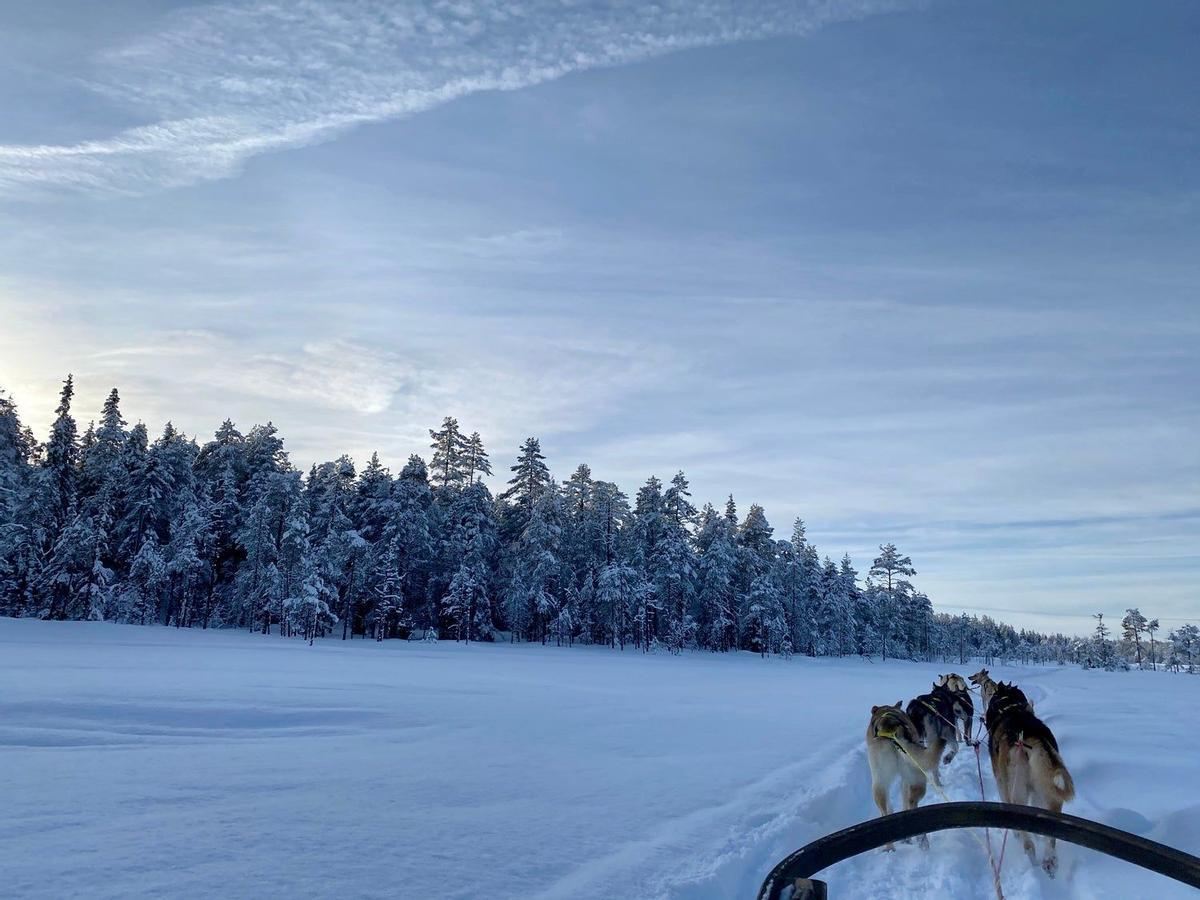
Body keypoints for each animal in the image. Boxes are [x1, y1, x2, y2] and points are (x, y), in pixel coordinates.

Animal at [868, 705, 940, 854]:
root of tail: (890, 730)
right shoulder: (905, 781)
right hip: (916, 779)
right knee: (912, 803)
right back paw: (919, 839)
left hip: (879, 783)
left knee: (885, 812)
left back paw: (891, 846)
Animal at [984, 681, 1080, 873]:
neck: (1010, 708)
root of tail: (1029, 737)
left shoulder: (1002, 784)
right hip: (1049, 793)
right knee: (1050, 837)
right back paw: (1049, 860)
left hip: (1017, 793)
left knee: (1028, 843)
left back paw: (1030, 854)